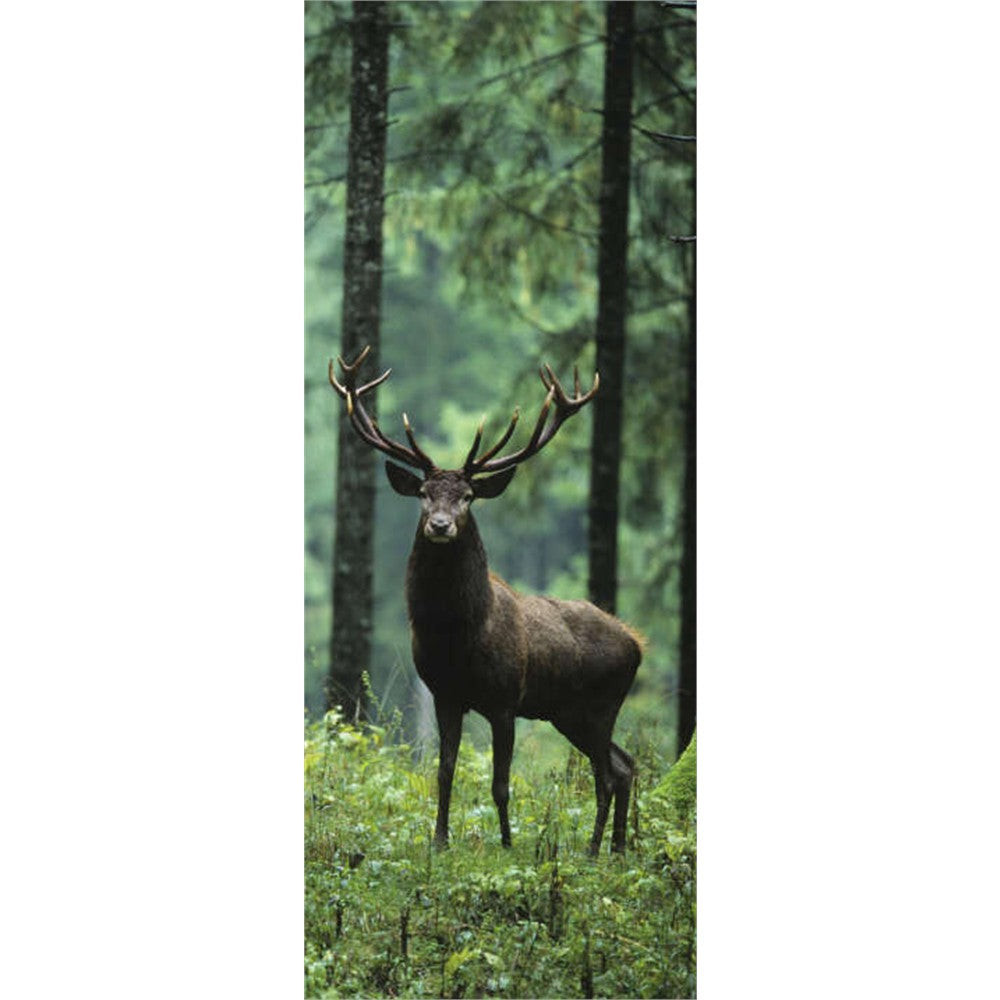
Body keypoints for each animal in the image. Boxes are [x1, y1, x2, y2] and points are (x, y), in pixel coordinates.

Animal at [329, 345, 642, 856]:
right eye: (423, 492)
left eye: (469, 495)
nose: (439, 525)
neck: (458, 637)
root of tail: (637, 644)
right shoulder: (444, 694)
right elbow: (444, 772)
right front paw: (439, 841)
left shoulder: (504, 699)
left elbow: (500, 782)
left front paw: (508, 844)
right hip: (567, 712)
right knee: (625, 764)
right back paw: (615, 849)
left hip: (602, 703)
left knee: (607, 773)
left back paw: (594, 850)